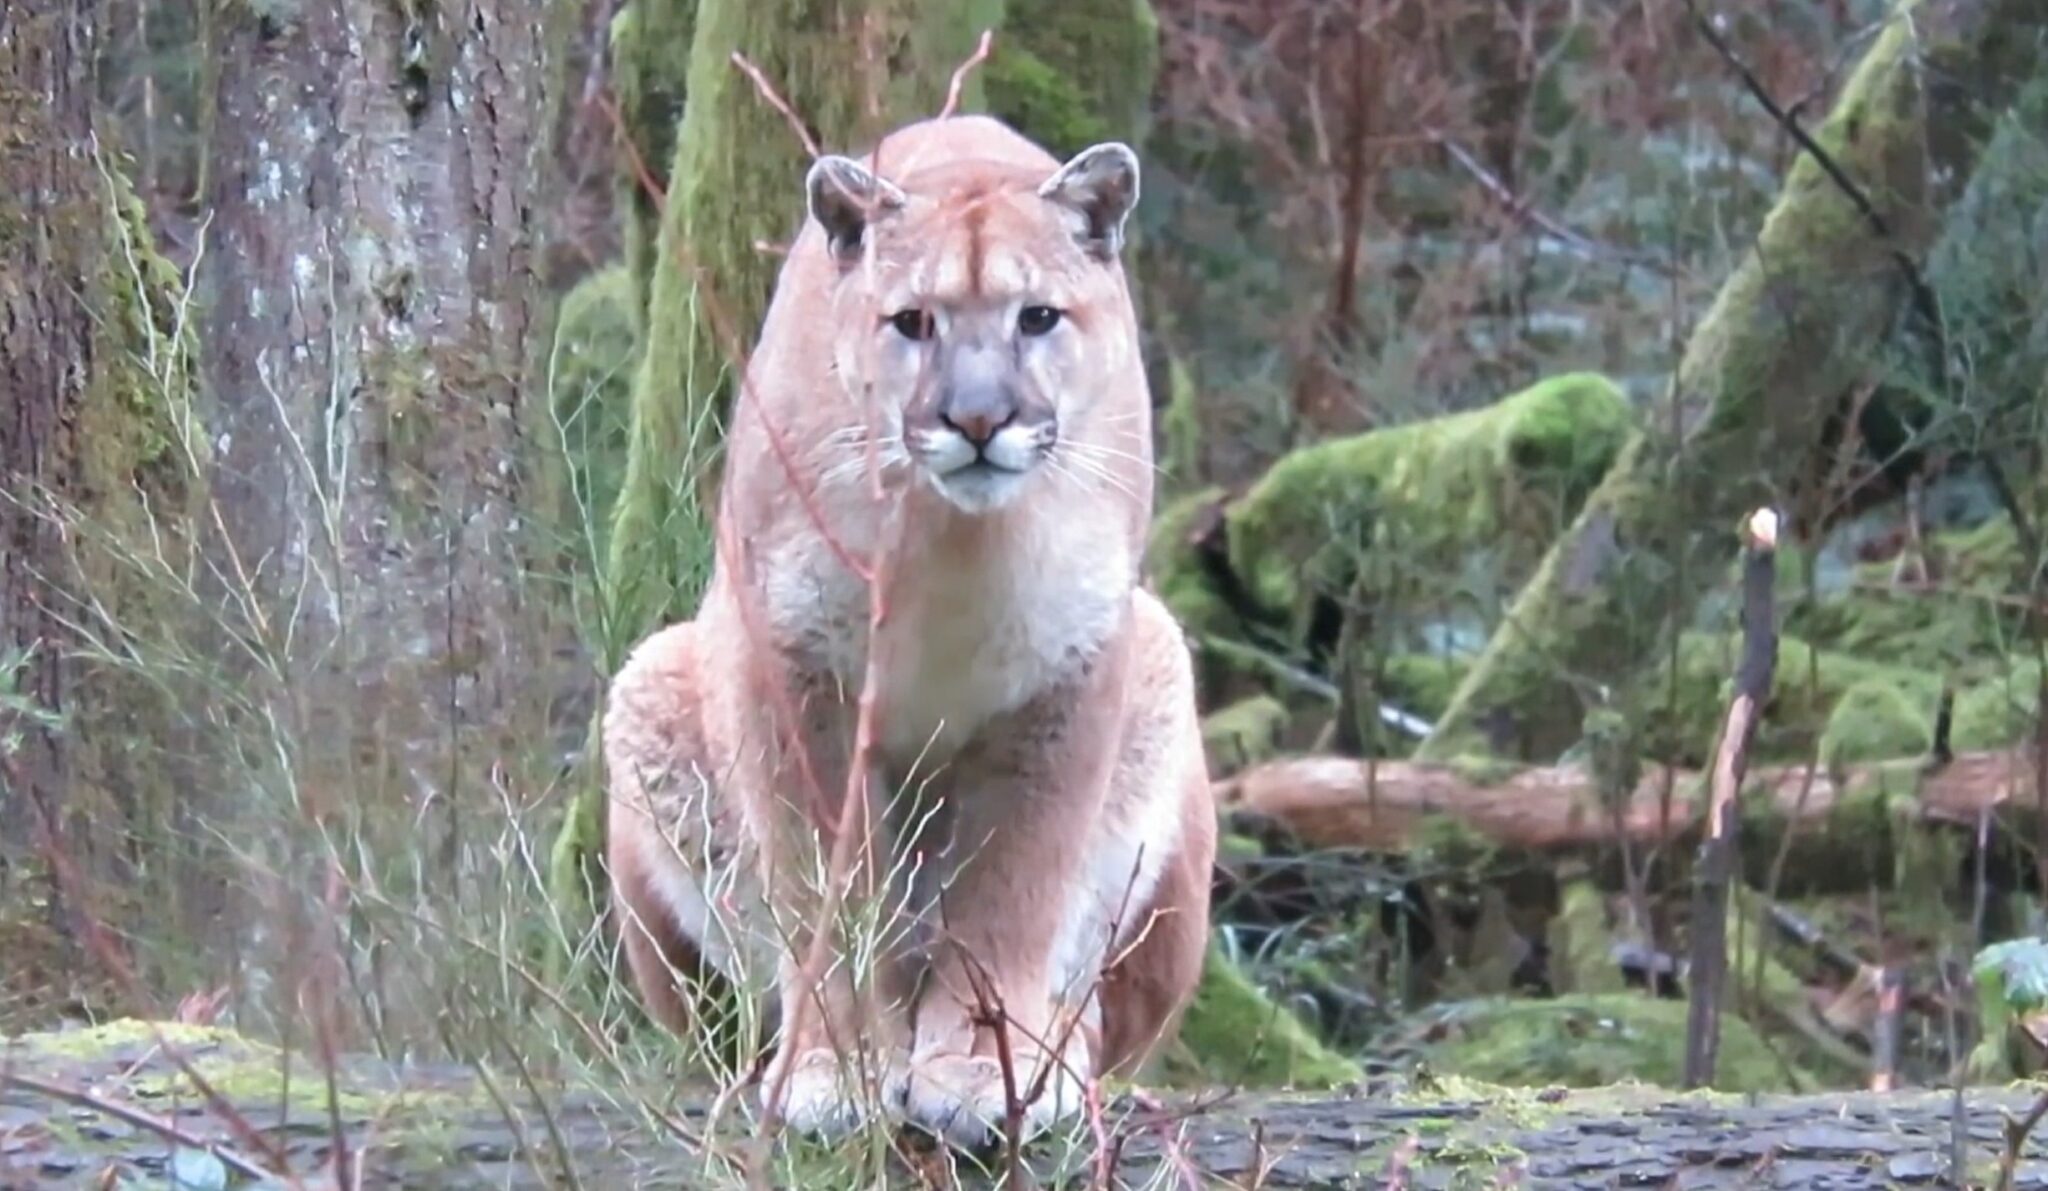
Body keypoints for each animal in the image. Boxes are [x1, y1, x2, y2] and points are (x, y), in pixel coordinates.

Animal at [601, 113, 1216, 1150]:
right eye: (913, 322)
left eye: (1037, 317)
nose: (977, 418)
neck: (953, 545)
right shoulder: (790, 666)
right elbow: (826, 888)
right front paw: (834, 1071)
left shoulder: (1073, 671)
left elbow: (1014, 885)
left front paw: (977, 1068)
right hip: (654, 674)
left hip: (1164, 665)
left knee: (1107, 1009)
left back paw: (1056, 1053)